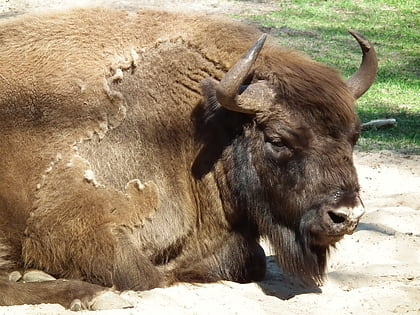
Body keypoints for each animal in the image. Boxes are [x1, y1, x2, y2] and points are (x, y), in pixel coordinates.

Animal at [0, 7, 378, 312]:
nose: (347, 215)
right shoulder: (73, 224)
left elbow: (250, 260)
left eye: (354, 136)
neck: (199, 129)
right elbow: (145, 276)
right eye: (277, 139)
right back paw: (86, 293)